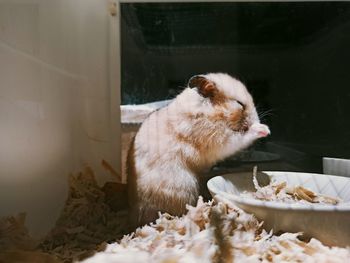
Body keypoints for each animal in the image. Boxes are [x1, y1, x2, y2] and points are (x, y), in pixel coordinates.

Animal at [127, 73, 270, 228]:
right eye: (240, 104)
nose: (258, 121)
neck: (209, 111)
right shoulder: (218, 139)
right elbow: (242, 137)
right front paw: (264, 129)